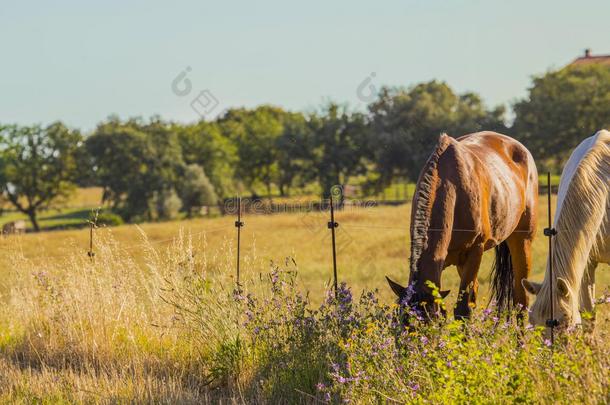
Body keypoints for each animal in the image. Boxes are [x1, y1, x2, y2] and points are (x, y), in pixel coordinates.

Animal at [384, 132, 536, 318]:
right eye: (400, 318)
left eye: (429, 318)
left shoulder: (474, 251)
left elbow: (463, 309)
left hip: (522, 241)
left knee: (521, 299)